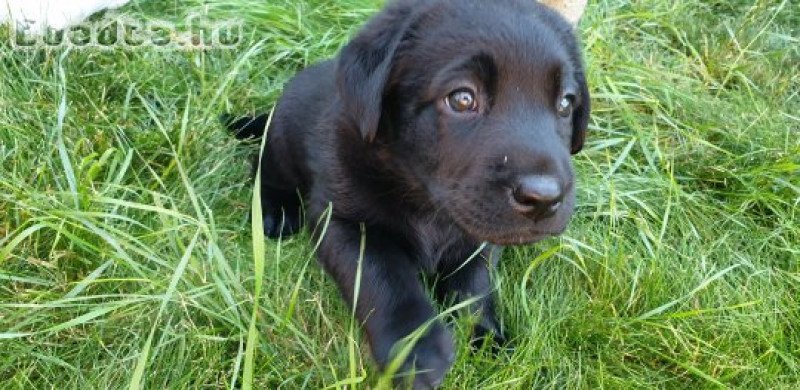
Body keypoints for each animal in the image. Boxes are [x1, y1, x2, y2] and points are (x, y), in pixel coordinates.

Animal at [228, 0, 592, 386]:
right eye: (462, 99)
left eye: (566, 103)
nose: (544, 199)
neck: (428, 203)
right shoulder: (340, 221)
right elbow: (382, 275)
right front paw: (415, 347)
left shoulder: (478, 234)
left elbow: (474, 283)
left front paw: (485, 334)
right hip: (281, 141)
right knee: (262, 165)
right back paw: (274, 210)